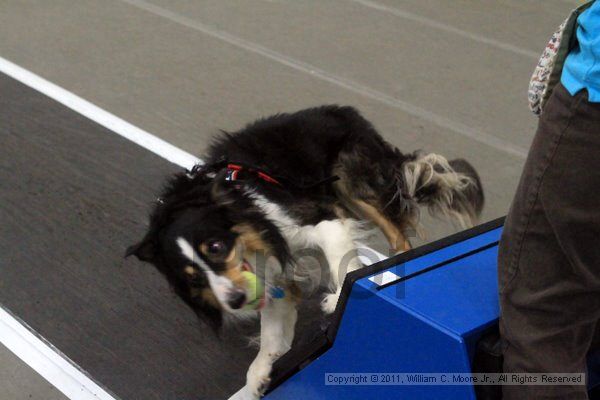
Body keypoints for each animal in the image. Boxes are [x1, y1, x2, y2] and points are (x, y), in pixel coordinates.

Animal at [125, 104, 482, 398]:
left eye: (215, 247)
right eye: (193, 278)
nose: (236, 301)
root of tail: (345, 110)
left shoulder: (319, 220)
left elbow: (340, 262)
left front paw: (338, 299)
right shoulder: (271, 277)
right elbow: (271, 335)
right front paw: (258, 376)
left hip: (351, 180)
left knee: (398, 235)